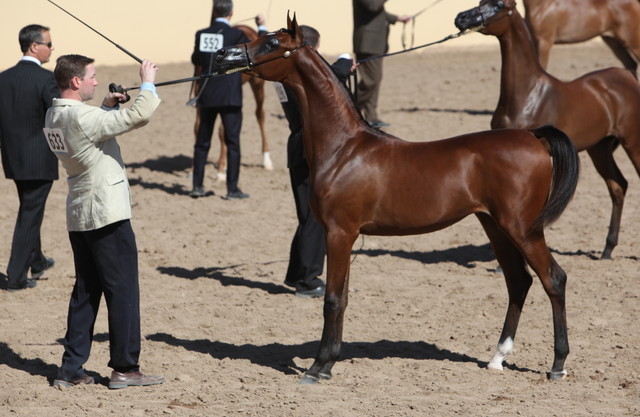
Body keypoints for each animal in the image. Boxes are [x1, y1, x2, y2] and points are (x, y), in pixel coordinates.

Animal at [216, 14, 580, 383]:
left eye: (273, 43)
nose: (223, 56)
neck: (343, 148)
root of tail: (534, 137)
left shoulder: (339, 233)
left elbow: (332, 299)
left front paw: (317, 367)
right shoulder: (345, 238)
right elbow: (343, 298)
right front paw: (330, 363)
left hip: (523, 229)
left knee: (554, 279)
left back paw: (557, 365)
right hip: (495, 226)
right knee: (518, 281)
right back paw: (497, 358)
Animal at [455, 0, 640, 260]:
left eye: (499, 4)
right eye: (481, 2)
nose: (460, 18)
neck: (528, 93)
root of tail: (628, 77)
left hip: (632, 141)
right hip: (600, 149)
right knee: (618, 186)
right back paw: (607, 249)